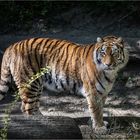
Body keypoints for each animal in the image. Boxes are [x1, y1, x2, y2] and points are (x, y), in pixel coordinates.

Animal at [0, 35, 129, 134]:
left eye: (114, 53)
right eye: (103, 53)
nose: (108, 64)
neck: (110, 73)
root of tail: (13, 46)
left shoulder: (103, 92)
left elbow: (100, 109)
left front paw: (97, 123)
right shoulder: (93, 91)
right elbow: (96, 110)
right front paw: (99, 128)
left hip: (37, 84)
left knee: (31, 106)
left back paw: (44, 119)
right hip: (30, 83)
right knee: (27, 108)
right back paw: (40, 126)